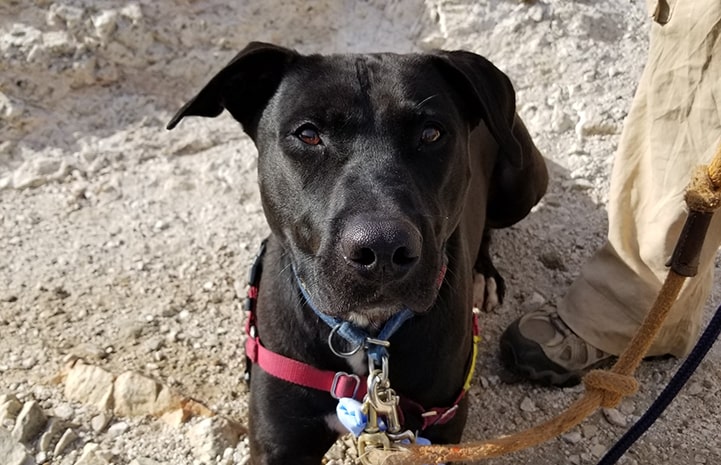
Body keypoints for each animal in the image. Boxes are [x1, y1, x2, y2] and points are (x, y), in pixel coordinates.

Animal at [166, 41, 544, 462]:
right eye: (308, 134)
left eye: (431, 133)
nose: (383, 248)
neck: (368, 339)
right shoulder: (279, 442)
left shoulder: (439, 429)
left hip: (523, 182)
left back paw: (485, 274)